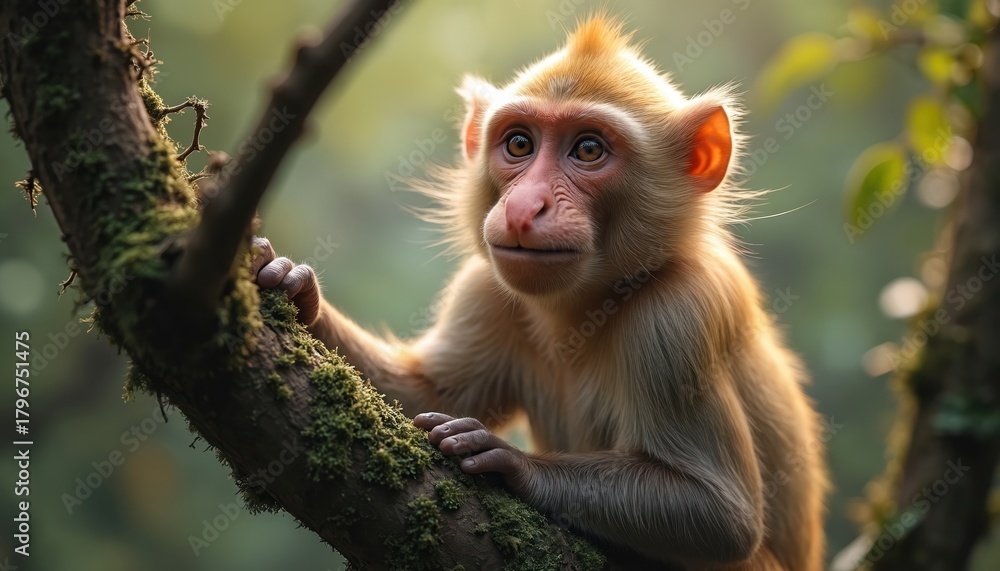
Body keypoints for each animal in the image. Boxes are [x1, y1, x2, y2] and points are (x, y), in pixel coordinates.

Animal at [252, 15, 827, 571]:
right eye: (519, 144)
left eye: (589, 149)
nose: (525, 206)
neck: (585, 305)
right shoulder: (486, 287)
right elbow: (426, 396)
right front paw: (294, 288)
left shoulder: (681, 313)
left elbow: (721, 515)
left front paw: (509, 461)